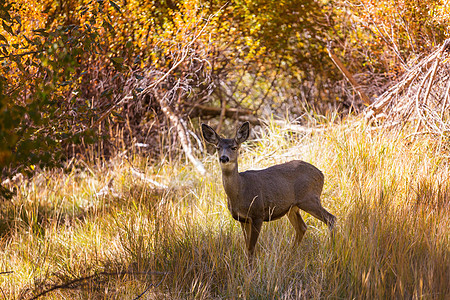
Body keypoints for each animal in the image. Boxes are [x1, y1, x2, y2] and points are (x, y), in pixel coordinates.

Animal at [202, 121, 336, 262]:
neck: (241, 190)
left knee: (331, 219)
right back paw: (290, 255)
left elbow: (251, 248)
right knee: (302, 227)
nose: (224, 158)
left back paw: (332, 251)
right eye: (217, 147)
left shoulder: (258, 213)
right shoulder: (242, 218)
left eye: (234, 147)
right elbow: (247, 246)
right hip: (292, 207)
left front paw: (251, 267)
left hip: (309, 198)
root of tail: (321, 174)